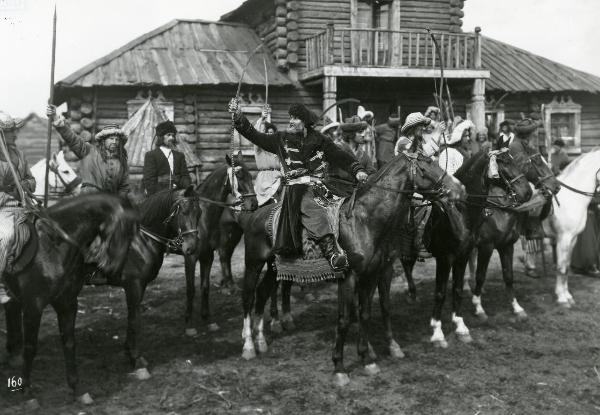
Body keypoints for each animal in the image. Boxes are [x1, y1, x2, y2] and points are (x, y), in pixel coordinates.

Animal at [2, 194, 138, 406]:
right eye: (123, 229)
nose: (113, 271)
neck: (52, 246)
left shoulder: (67, 304)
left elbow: (69, 343)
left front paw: (76, 388)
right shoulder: (33, 306)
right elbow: (30, 347)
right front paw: (27, 391)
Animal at [180, 154, 255, 336]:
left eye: (250, 175)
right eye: (239, 175)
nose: (254, 204)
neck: (202, 217)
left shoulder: (207, 256)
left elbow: (205, 287)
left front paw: (207, 319)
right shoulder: (190, 257)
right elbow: (190, 289)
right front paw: (189, 324)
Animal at [232, 151, 466, 386]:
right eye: (426, 168)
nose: (459, 190)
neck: (364, 221)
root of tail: (255, 214)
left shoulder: (373, 274)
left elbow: (366, 313)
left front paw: (367, 359)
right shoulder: (349, 277)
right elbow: (344, 319)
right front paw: (339, 367)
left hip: (273, 268)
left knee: (262, 294)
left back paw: (261, 341)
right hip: (253, 263)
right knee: (248, 298)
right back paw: (248, 346)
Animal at [548, 148, 600, 308]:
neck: (571, 197)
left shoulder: (573, 239)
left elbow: (566, 266)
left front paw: (567, 296)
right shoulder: (563, 239)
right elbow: (561, 267)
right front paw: (562, 299)